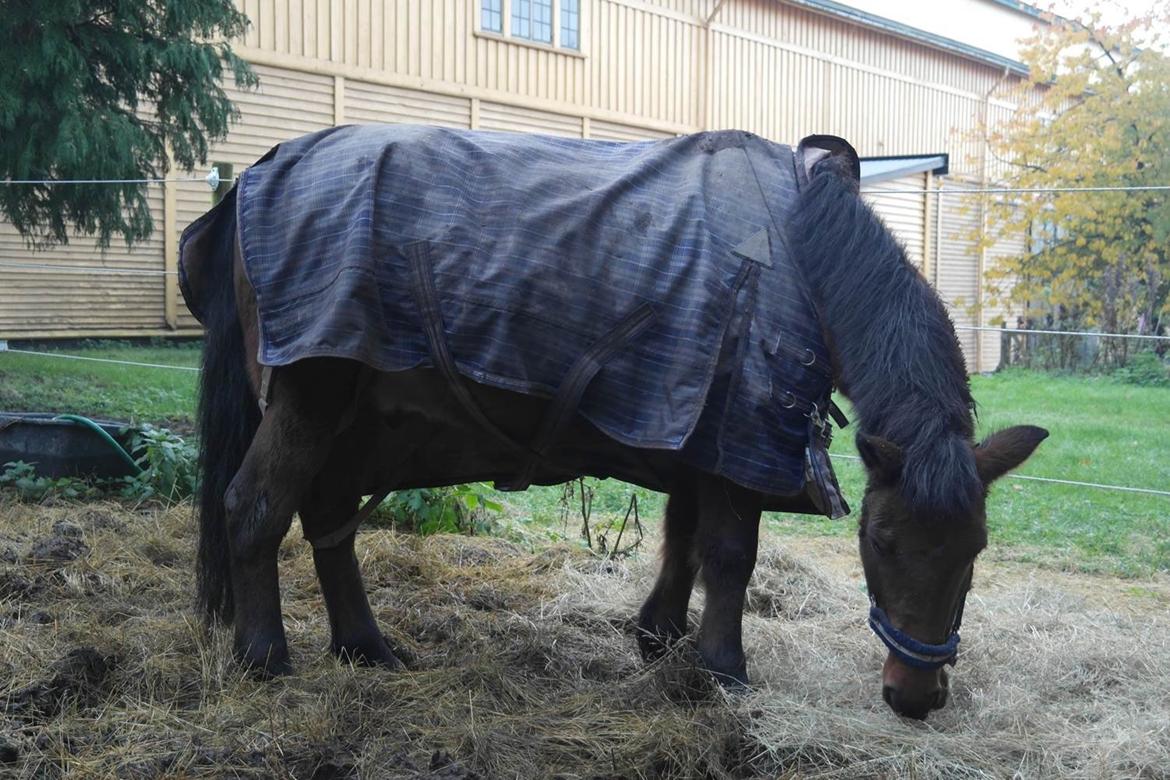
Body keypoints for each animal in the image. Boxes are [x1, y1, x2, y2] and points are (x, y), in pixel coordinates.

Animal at [184, 123, 1053, 720]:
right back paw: (266, 656)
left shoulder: (699, 428)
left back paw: (364, 646)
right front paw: (724, 668)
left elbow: (685, 539)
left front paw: (660, 637)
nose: (916, 695)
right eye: (881, 542)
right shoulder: (737, 433)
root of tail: (254, 179)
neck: (805, 255)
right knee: (254, 509)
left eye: (974, 550)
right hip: (312, 396)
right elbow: (730, 554)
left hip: (354, 415)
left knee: (328, 519)